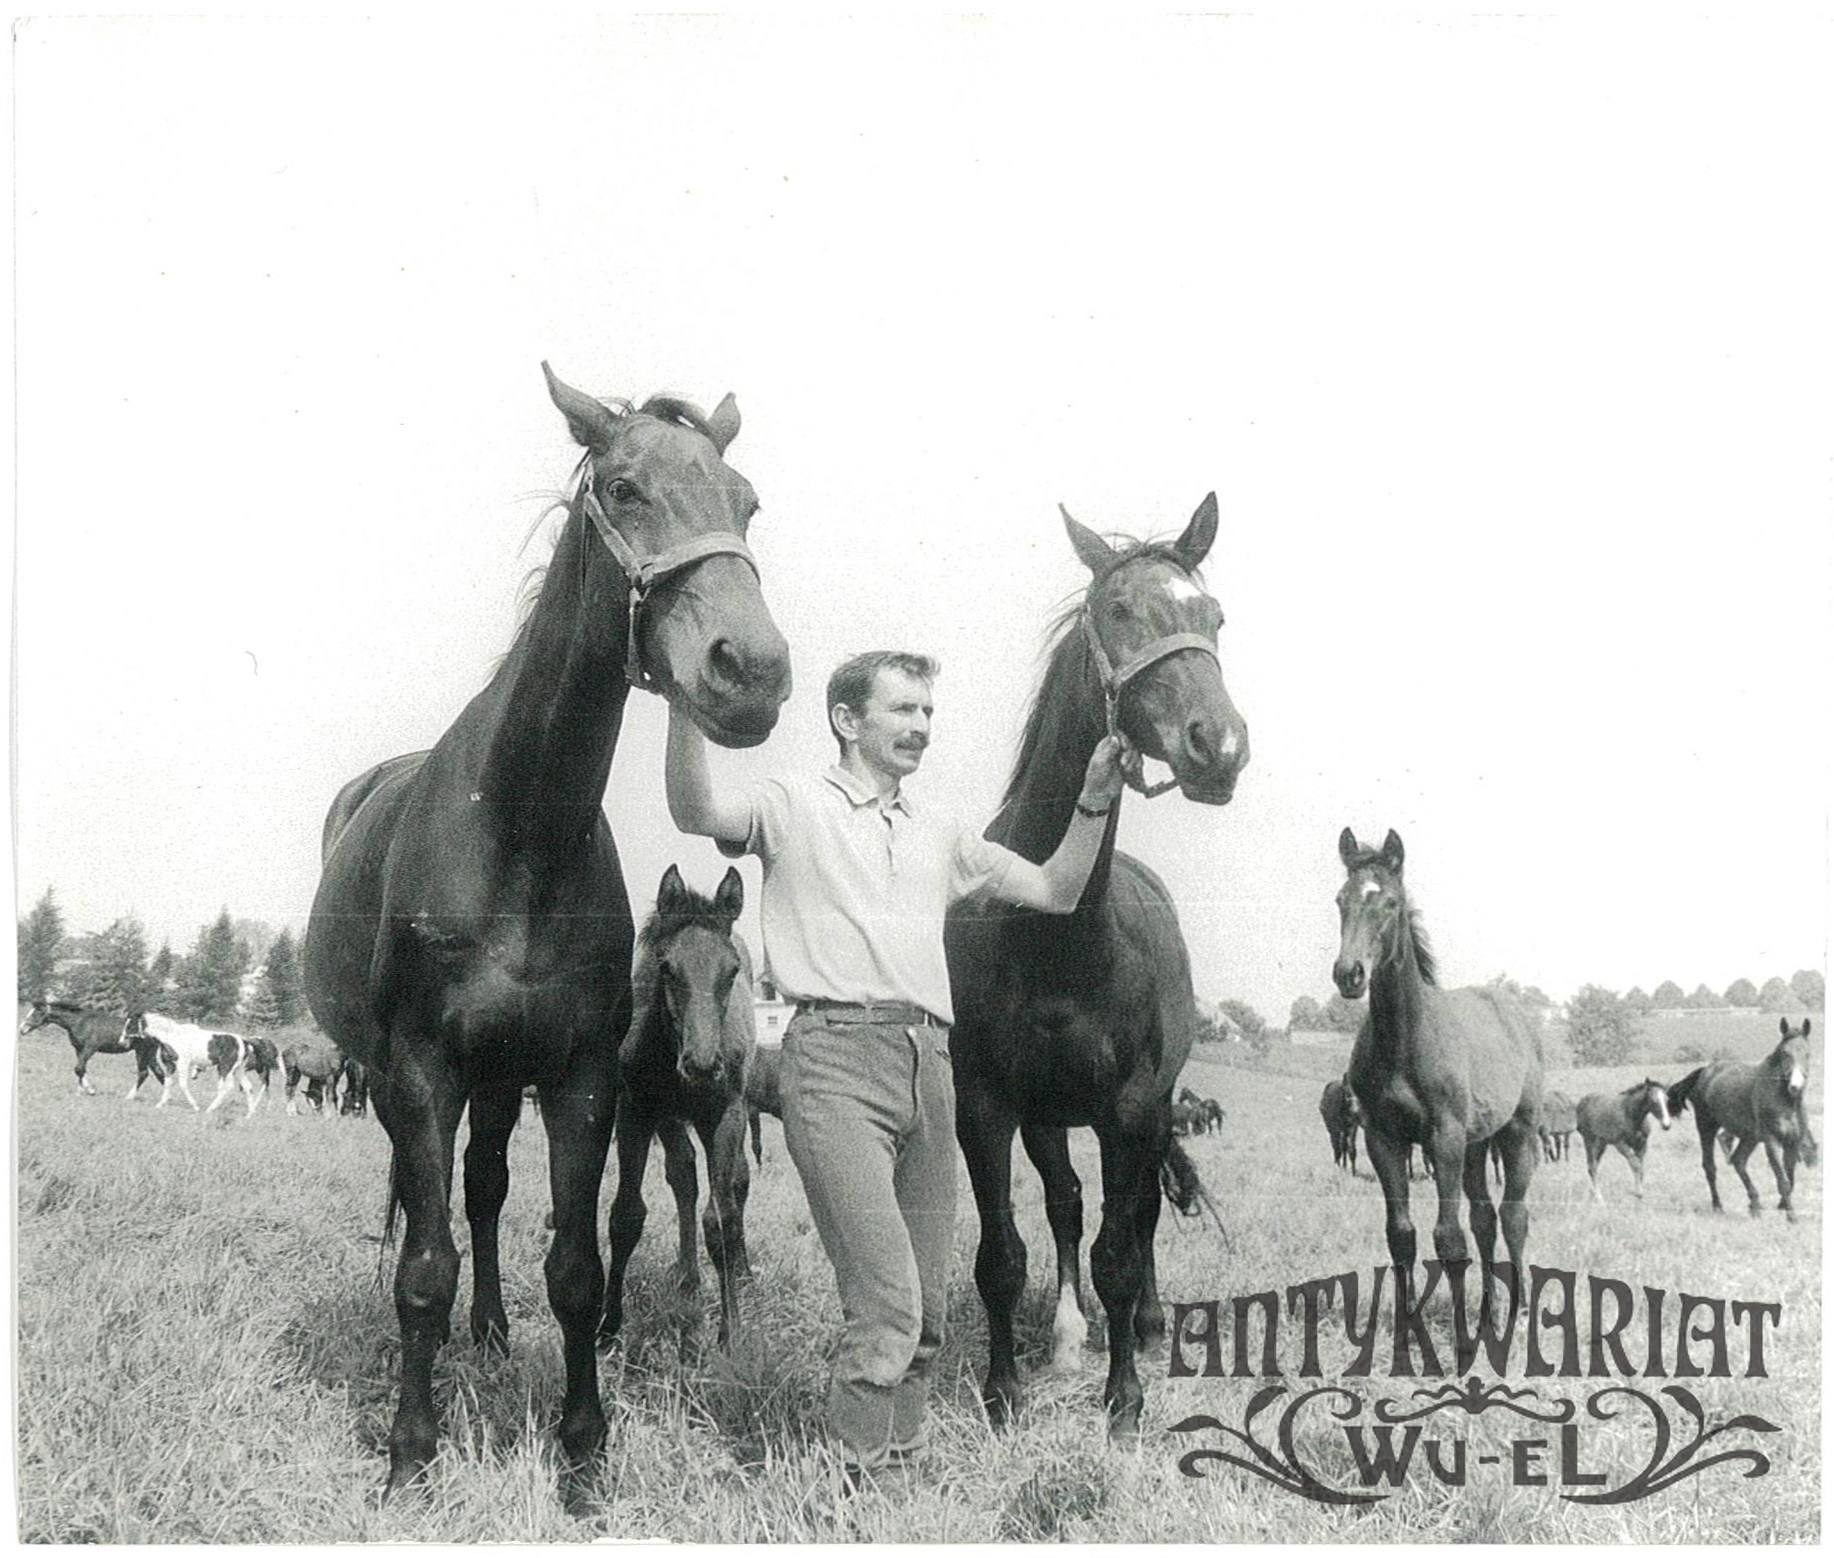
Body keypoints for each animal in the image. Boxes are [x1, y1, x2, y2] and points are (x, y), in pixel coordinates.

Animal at [19, 999, 165, 1096]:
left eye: (37, 1013)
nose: (22, 1029)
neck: (80, 1022)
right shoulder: (78, 1049)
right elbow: (81, 1069)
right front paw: (80, 1091)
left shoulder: (90, 1048)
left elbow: (78, 1068)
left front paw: (90, 1090)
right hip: (149, 1053)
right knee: (158, 1072)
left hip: (142, 1051)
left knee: (144, 1073)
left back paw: (129, 1096)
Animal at [603, 866, 756, 1353]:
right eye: (667, 967)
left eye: (732, 970)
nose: (703, 1065)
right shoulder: (634, 1112)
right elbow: (626, 1215)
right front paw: (607, 1326)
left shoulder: (725, 1115)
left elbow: (721, 1218)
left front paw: (731, 1334)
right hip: (669, 1119)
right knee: (683, 1173)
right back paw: (688, 1276)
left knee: (737, 1180)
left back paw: (742, 1272)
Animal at [944, 495, 1250, 1441]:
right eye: (1118, 611)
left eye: (1213, 617)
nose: (1219, 746)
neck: (1051, 935)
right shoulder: (987, 1105)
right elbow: (1004, 1253)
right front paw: (1005, 1390)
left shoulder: (1135, 1105)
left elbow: (1123, 1245)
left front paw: (1124, 1400)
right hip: (1050, 1118)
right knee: (1069, 1206)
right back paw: (1068, 1333)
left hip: (1146, 1113)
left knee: (1138, 1214)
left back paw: (1141, 1327)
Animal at [1335, 828, 1543, 1330]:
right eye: (1340, 900)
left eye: (1390, 902)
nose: (1349, 974)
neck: (1403, 1040)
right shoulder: (1383, 1139)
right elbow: (1401, 1235)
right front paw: (1407, 1330)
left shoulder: (1443, 1138)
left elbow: (1449, 1238)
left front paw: (1463, 1340)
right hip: (1476, 1144)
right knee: (1486, 1219)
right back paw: (1490, 1309)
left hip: (1516, 1133)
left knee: (1513, 1216)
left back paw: (1520, 1309)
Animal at [1668, 1019, 1815, 1221]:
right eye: (1785, 1053)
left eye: (1807, 1053)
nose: (1795, 1086)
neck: (1786, 1103)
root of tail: (1704, 1071)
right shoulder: (1771, 1142)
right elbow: (1783, 1180)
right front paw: (1792, 1217)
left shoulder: (1792, 1142)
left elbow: (1790, 1178)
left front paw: (1782, 1206)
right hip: (1706, 1127)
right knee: (1710, 1166)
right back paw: (1718, 1206)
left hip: (1749, 1137)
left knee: (1738, 1161)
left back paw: (1755, 1205)